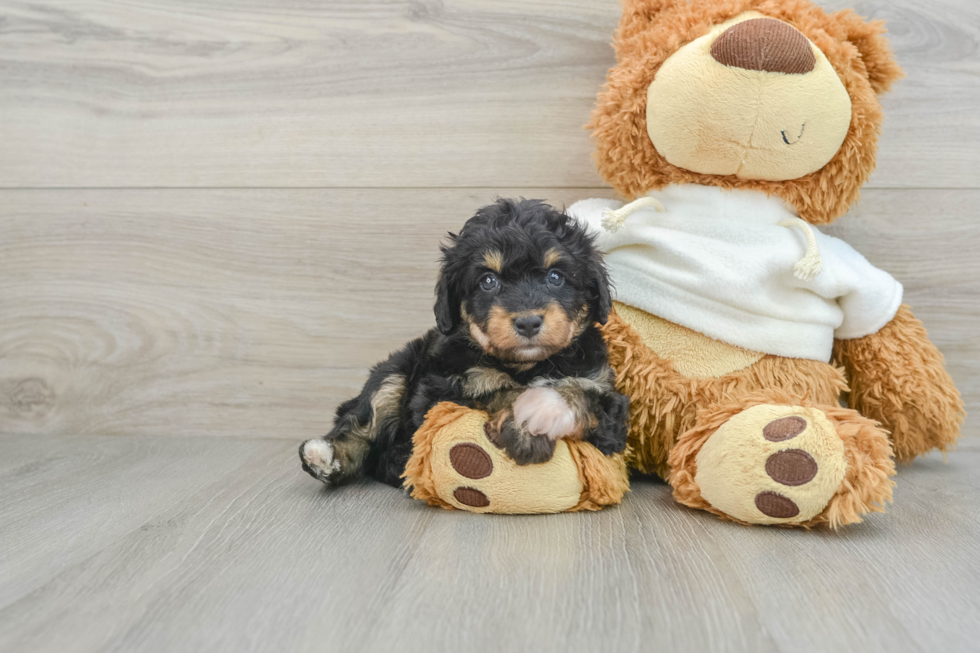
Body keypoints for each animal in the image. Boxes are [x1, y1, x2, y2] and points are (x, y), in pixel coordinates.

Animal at [298, 199, 628, 488]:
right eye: (488, 281)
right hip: (395, 371)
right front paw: (524, 424)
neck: (527, 366)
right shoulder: (439, 393)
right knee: (365, 424)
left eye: (555, 277)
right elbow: (493, 390)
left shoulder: (606, 399)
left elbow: (586, 394)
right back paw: (325, 457)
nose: (528, 322)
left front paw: (543, 408)